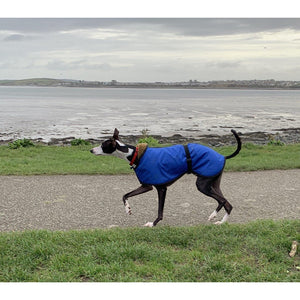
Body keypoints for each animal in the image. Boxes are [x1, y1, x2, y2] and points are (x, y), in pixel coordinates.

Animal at [89, 127, 241, 226]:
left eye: (103, 145)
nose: (91, 150)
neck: (134, 154)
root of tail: (222, 156)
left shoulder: (160, 188)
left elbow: (160, 211)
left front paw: (153, 224)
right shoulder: (146, 186)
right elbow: (124, 195)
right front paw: (128, 209)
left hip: (202, 185)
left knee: (222, 201)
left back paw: (213, 215)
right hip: (213, 183)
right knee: (228, 204)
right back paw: (221, 222)